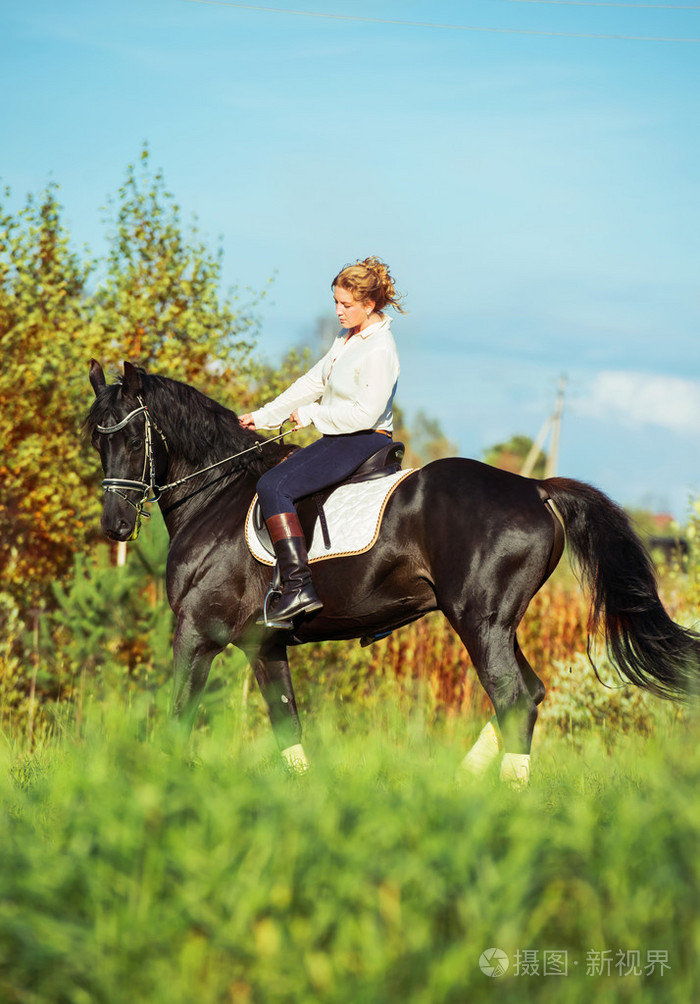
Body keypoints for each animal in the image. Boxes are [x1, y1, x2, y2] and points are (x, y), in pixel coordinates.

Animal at [87, 361, 698, 783]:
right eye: (96, 437)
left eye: (130, 436)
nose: (115, 525)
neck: (215, 497)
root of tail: (535, 487)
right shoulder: (264, 645)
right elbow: (287, 724)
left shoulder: (197, 633)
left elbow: (177, 716)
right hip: (500, 624)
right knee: (532, 691)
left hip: (479, 622)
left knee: (514, 699)